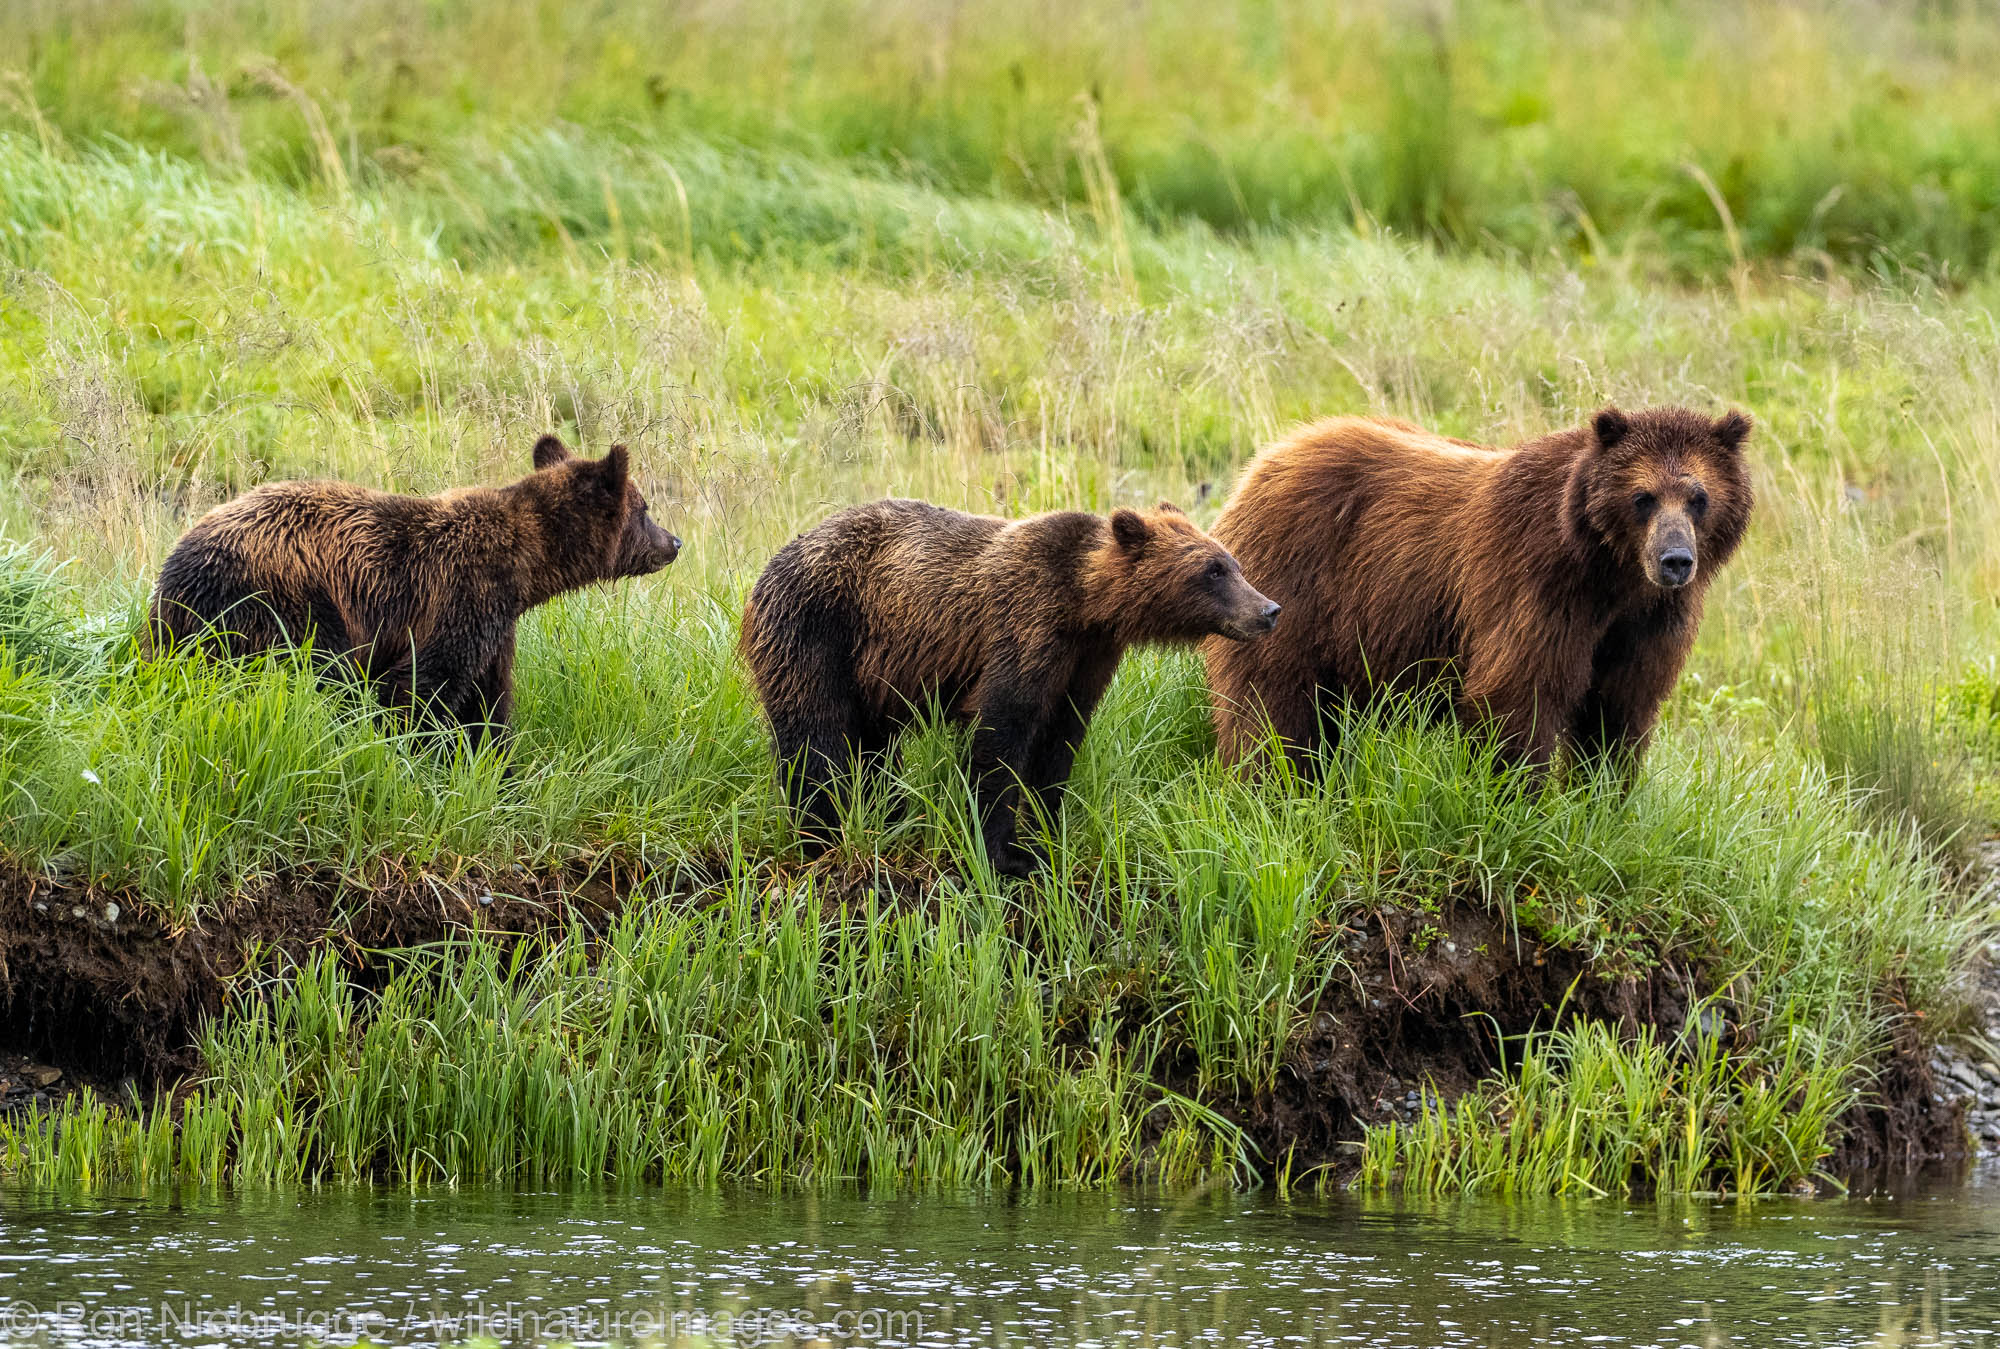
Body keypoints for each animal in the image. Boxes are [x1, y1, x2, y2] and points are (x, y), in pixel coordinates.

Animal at [148, 434, 680, 740]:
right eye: (645, 509)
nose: (674, 542)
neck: (526, 568)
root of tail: (173, 569)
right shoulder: (460, 596)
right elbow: (422, 686)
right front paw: (412, 747)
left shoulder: (497, 624)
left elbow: (489, 700)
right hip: (281, 599)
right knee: (319, 668)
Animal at [740, 494, 1280, 872]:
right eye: (1212, 570)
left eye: (1232, 561)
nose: (1269, 610)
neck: (1085, 603)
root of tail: (772, 561)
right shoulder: (1025, 627)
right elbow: (1002, 733)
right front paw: (1006, 852)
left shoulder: (1086, 660)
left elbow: (1060, 741)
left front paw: (1048, 831)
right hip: (816, 628)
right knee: (816, 734)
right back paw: (823, 833)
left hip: (872, 672)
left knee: (873, 746)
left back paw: (888, 814)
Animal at [1200, 404, 1752, 772]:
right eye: (1643, 497)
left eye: (1699, 497)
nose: (1675, 560)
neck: (1612, 575)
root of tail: (1268, 459)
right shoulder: (1536, 585)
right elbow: (1518, 694)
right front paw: (1519, 794)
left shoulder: (1647, 622)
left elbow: (1619, 709)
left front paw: (1603, 796)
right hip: (1292, 589)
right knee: (1271, 703)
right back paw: (1275, 778)